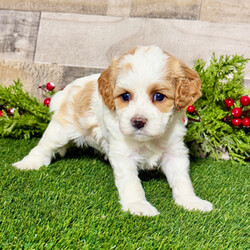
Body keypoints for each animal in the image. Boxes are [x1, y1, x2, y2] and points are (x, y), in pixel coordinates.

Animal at [13, 46, 213, 216]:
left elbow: (182, 179)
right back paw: (28, 164)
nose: (138, 121)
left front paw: (190, 201)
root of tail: (68, 89)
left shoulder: (175, 152)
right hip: (61, 129)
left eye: (159, 96)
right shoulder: (123, 153)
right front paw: (137, 205)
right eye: (125, 96)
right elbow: (131, 183)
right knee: (44, 146)